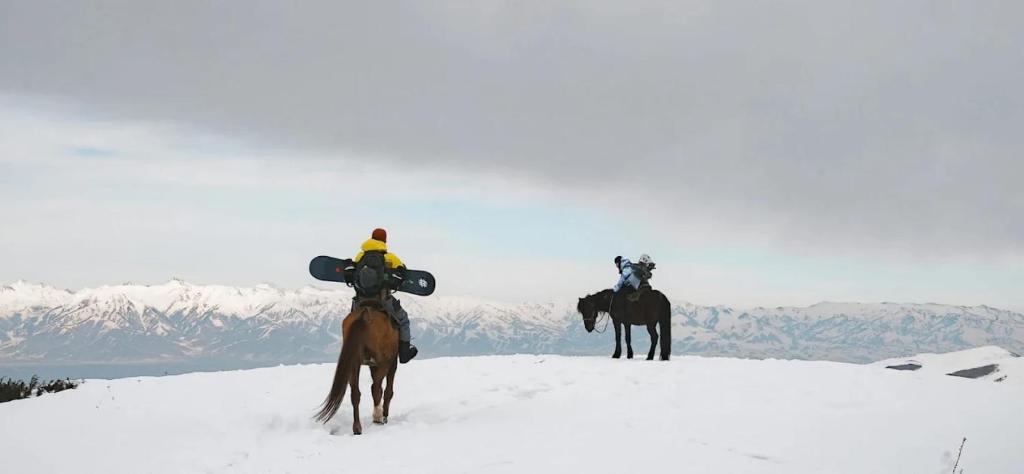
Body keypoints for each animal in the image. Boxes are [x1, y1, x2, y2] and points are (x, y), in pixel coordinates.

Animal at [314, 303, 399, 435]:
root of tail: (363, 315)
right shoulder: (392, 362)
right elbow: (387, 391)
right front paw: (384, 416)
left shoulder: (372, 365)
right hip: (384, 361)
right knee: (376, 388)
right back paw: (378, 417)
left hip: (354, 361)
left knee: (356, 393)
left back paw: (357, 428)